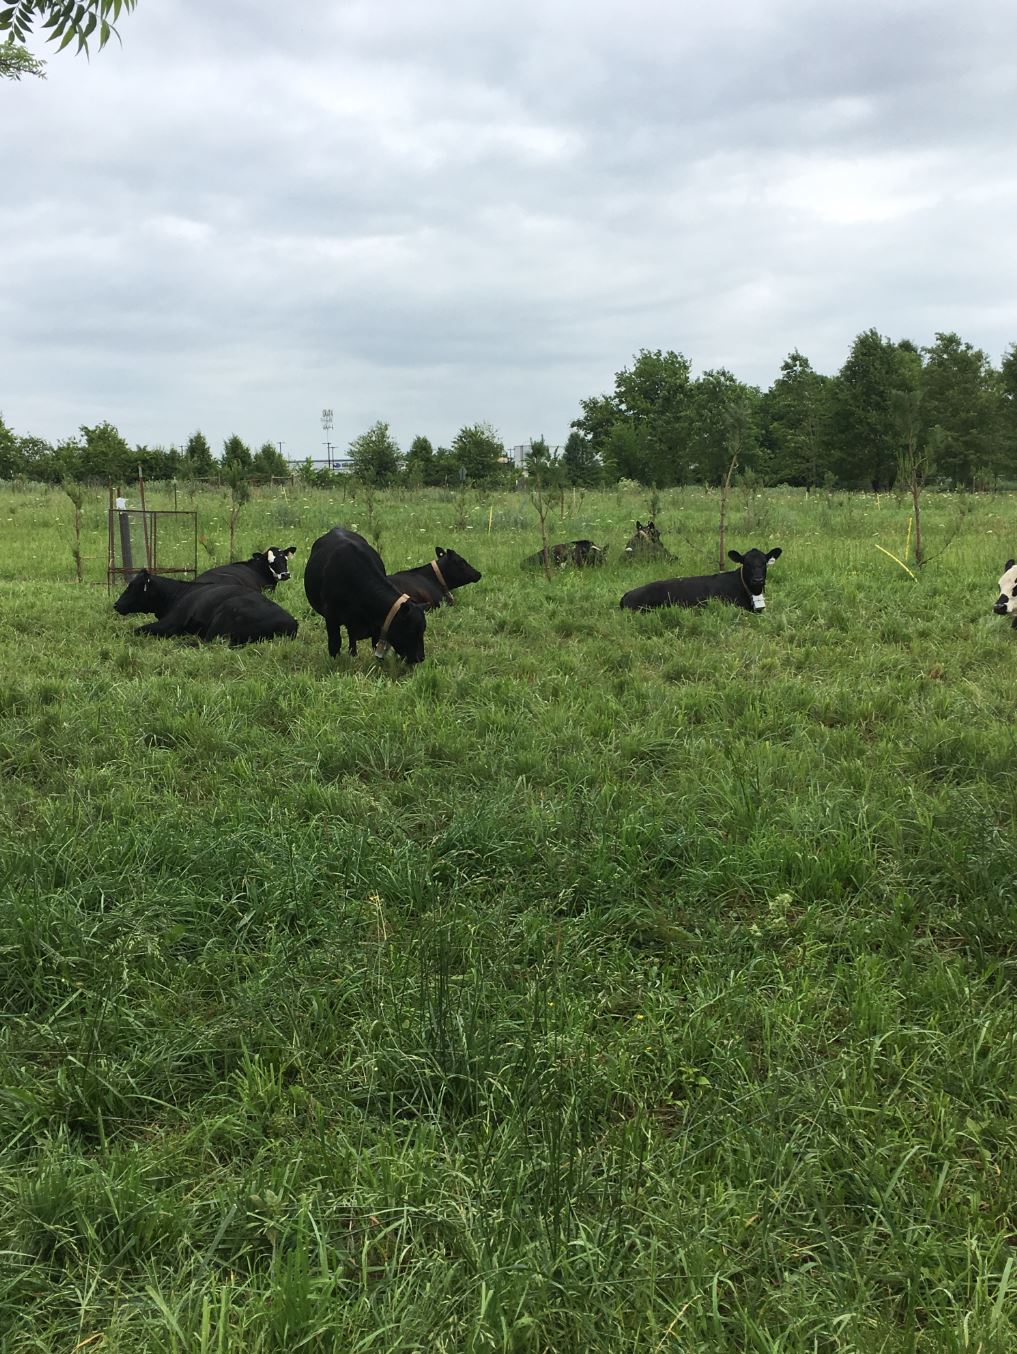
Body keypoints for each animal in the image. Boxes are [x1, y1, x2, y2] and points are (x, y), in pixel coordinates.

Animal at [115, 565, 300, 639]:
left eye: (132, 587)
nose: (116, 605)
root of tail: (291, 622)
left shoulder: (170, 623)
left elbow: (139, 629)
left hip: (224, 615)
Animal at [304, 525, 427, 663]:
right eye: (412, 631)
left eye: (423, 630)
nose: (421, 657)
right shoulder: (331, 617)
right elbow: (335, 644)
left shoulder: (377, 627)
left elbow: (375, 646)